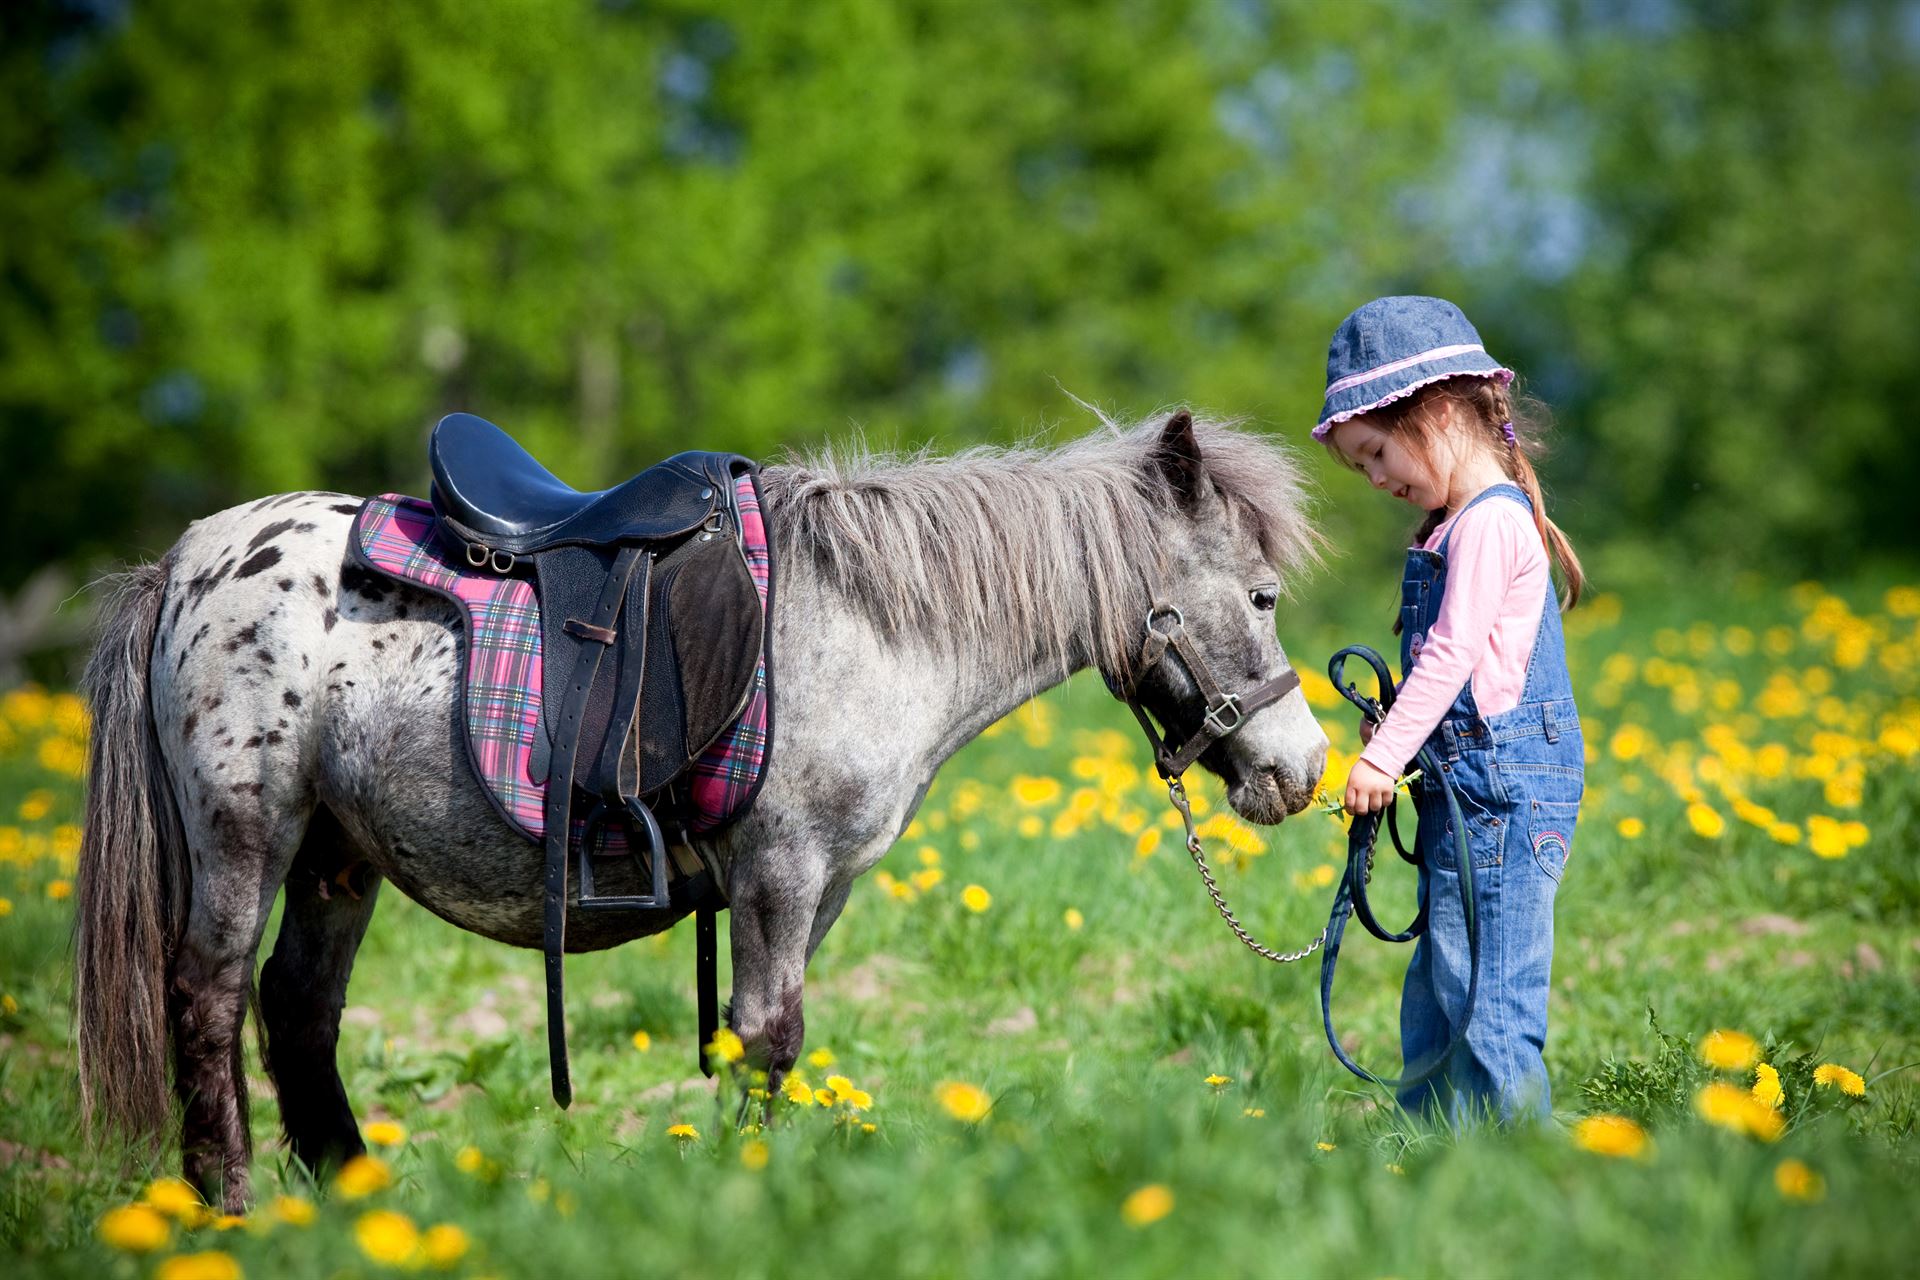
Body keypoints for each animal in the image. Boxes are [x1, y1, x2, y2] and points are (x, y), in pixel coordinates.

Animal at [78, 404, 1336, 1205]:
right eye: (1262, 595)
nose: (1304, 767)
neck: (866, 620)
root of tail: (189, 561)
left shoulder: (820, 889)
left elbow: (755, 1041)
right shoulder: (779, 868)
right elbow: (768, 1036)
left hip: (338, 855)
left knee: (298, 1008)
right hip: (247, 834)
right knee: (209, 998)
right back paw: (231, 1208)